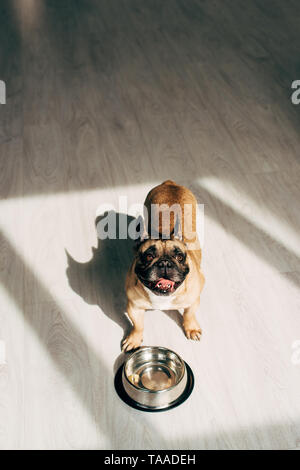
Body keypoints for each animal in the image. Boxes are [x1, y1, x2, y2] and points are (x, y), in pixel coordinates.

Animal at [121, 180, 204, 352]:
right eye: (148, 256)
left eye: (179, 257)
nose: (165, 262)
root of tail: (170, 183)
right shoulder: (134, 307)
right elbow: (138, 325)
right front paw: (134, 339)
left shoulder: (193, 300)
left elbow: (189, 314)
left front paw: (191, 328)